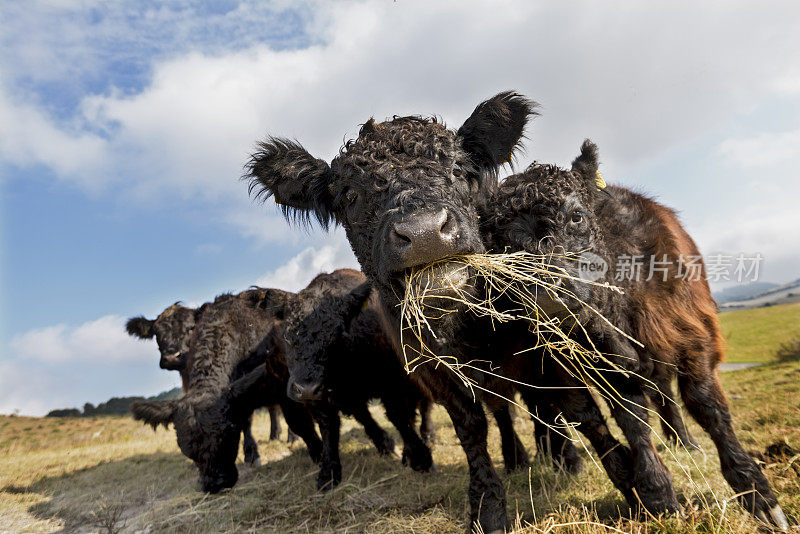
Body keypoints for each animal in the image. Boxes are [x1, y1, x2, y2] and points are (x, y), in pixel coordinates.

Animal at [128, 288, 322, 494]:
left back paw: (291, 438)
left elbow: (249, 419)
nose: (215, 484)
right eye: (187, 449)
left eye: (228, 434)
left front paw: (252, 454)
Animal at [280, 270, 432, 492]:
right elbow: (329, 429)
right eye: (288, 338)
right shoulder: (323, 399)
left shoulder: (392, 382)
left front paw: (420, 458)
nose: (306, 388)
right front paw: (328, 474)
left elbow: (399, 416)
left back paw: (426, 437)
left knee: (422, 408)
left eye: (336, 336)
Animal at [488, 141, 788, 532]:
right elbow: (630, 423)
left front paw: (757, 493)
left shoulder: (692, 337)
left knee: (667, 395)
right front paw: (657, 496)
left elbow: (708, 407)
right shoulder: (590, 368)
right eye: (497, 244)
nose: (544, 292)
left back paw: (684, 442)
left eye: (576, 216)